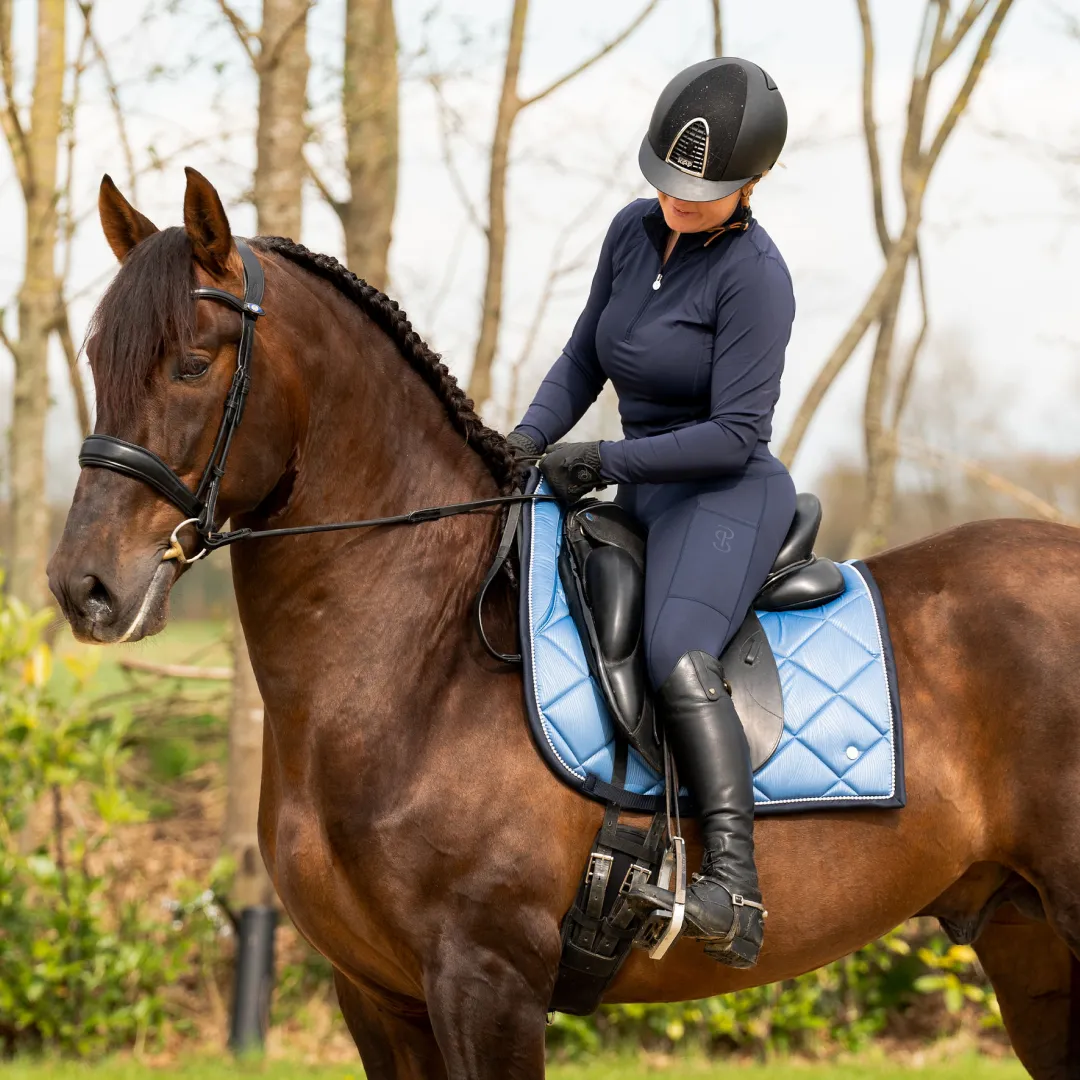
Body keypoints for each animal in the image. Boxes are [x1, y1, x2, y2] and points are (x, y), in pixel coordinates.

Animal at [46, 168, 1080, 1080]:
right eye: (99, 360)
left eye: (192, 365)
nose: (83, 587)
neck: (421, 668)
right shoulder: (377, 999)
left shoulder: (486, 983)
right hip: (1028, 944)